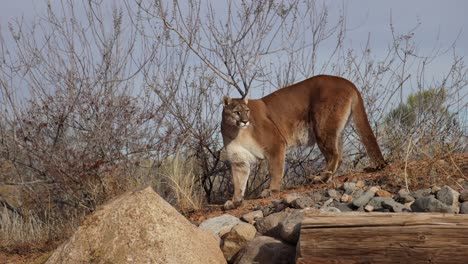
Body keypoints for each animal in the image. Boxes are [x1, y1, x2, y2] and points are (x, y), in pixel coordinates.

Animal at [221, 73, 386, 208]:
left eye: (247, 111)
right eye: (237, 112)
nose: (245, 121)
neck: (237, 131)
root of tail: (346, 82)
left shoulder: (276, 145)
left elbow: (275, 170)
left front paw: (272, 189)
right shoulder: (239, 159)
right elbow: (239, 181)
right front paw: (235, 201)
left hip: (322, 126)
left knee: (335, 155)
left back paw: (321, 178)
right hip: (334, 131)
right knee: (338, 154)